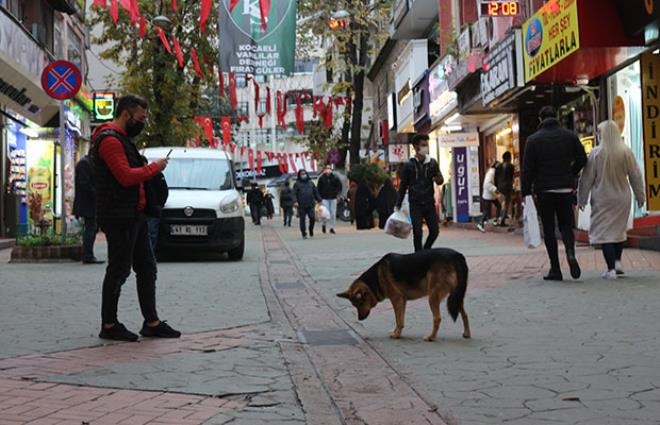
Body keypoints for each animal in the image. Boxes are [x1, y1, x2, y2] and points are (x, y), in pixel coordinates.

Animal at [338, 247, 472, 340]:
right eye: (355, 306)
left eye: (360, 303)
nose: (360, 319)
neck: (376, 278)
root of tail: (456, 255)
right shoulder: (403, 301)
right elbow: (400, 319)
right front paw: (396, 332)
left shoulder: (396, 299)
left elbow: (398, 320)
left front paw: (396, 335)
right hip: (456, 297)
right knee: (465, 315)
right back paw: (467, 333)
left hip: (433, 297)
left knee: (437, 318)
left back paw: (431, 337)